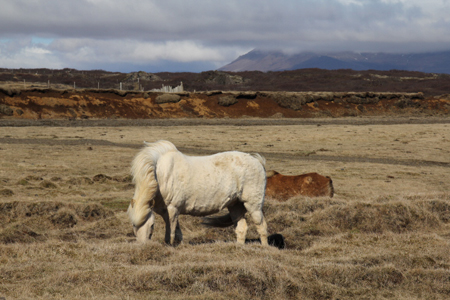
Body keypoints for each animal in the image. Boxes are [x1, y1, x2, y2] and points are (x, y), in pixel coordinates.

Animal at [125, 139, 268, 245]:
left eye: (152, 225)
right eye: (133, 225)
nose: (143, 246)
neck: (160, 174)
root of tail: (257, 161)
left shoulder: (172, 208)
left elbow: (171, 231)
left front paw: (171, 246)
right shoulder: (167, 211)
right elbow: (175, 230)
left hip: (253, 205)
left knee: (261, 226)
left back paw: (264, 247)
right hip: (235, 205)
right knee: (241, 228)